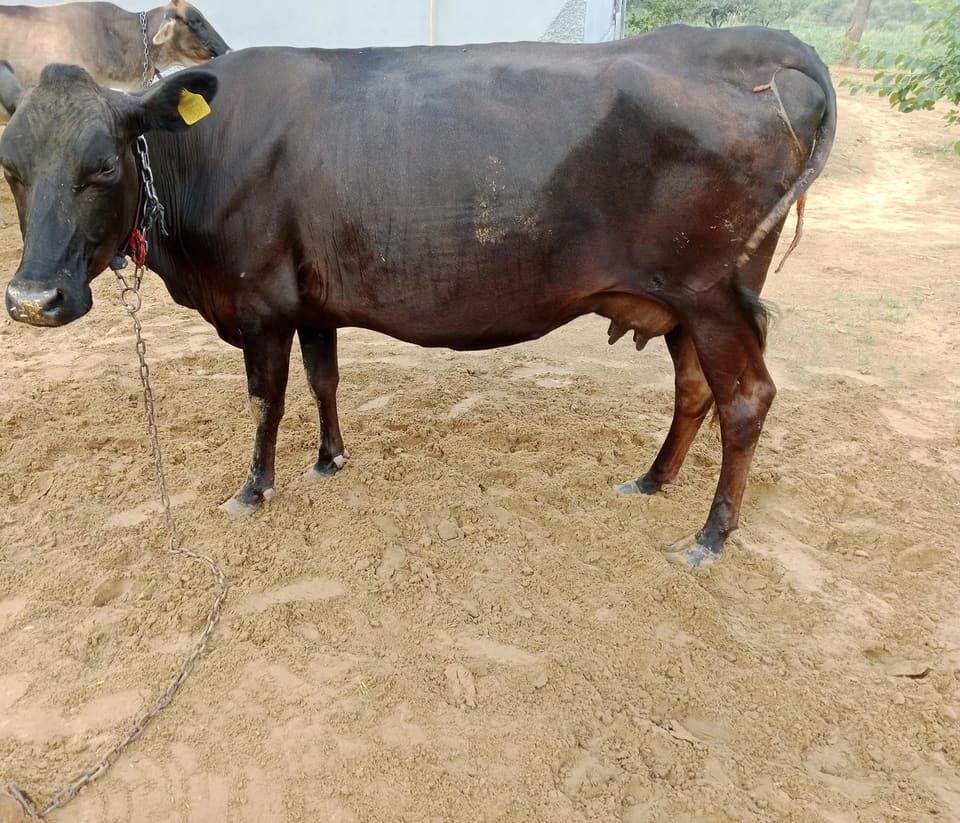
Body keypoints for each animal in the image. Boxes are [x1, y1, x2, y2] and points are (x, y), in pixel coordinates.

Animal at [0, 26, 836, 566]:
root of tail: (759, 46)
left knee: (745, 399)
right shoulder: (310, 301)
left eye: (105, 164)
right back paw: (653, 480)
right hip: (683, 303)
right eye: (9, 164)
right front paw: (331, 458)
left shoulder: (260, 303)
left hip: (714, 293)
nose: (33, 298)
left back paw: (710, 536)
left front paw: (253, 488)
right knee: (695, 388)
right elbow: (324, 379)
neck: (199, 154)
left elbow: (266, 399)